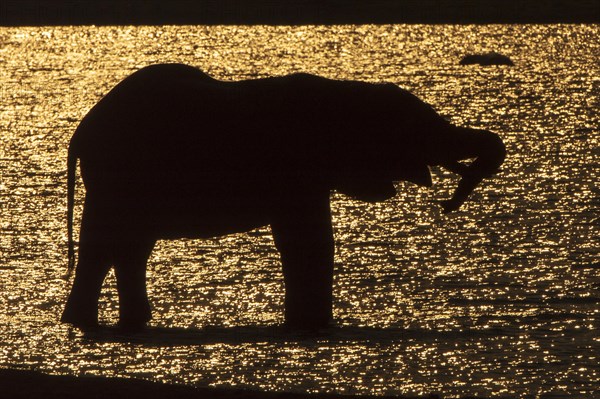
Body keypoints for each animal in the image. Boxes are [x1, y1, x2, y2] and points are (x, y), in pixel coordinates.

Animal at [61, 63, 504, 332]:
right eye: (412, 129)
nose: (448, 204)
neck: (341, 91)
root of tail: (81, 132)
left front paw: (306, 327)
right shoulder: (296, 168)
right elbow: (308, 240)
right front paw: (315, 328)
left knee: (127, 247)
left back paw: (117, 325)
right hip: (118, 177)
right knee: (111, 244)